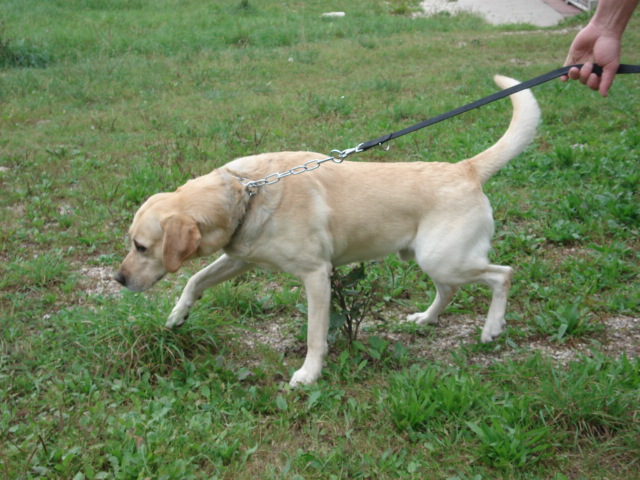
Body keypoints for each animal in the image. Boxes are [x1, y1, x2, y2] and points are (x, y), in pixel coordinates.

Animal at [116, 78, 540, 386]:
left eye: (141, 247)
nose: (118, 279)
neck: (245, 192)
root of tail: (465, 168)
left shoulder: (317, 276)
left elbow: (314, 335)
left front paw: (309, 374)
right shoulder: (240, 258)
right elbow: (196, 280)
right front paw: (178, 315)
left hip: (445, 259)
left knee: (503, 274)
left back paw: (492, 327)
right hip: (434, 260)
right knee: (450, 290)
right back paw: (426, 319)